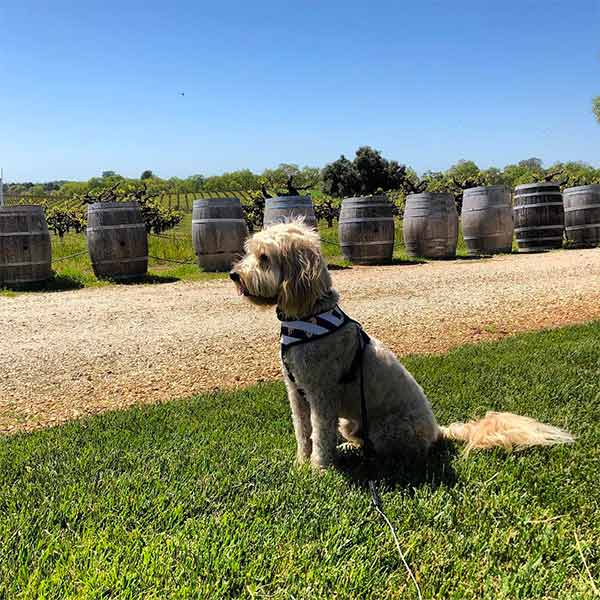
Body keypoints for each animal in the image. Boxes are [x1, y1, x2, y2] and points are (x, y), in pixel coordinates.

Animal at [229, 223, 572, 472]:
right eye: (250, 253)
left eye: (264, 258)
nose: (233, 275)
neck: (308, 314)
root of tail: (437, 431)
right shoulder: (296, 392)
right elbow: (303, 433)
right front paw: (302, 463)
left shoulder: (322, 395)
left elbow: (320, 434)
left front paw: (319, 469)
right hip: (351, 422)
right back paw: (349, 448)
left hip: (386, 429)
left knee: (394, 452)